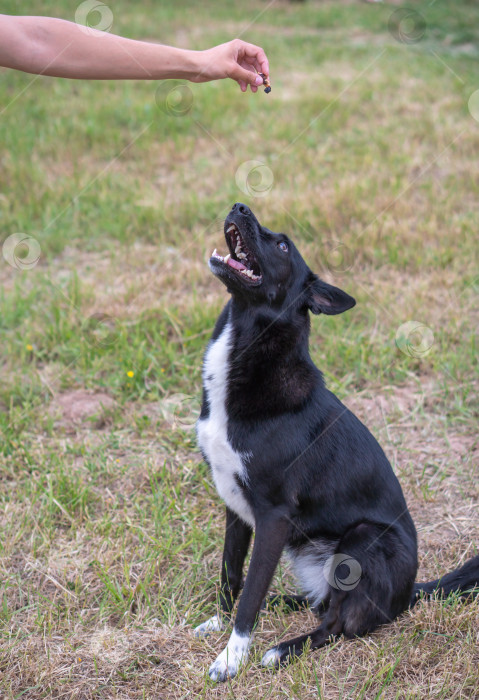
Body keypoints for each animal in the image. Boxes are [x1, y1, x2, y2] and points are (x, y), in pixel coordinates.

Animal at [193, 204, 478, 684]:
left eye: (282, 245)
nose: (239, 207)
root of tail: (410, 593)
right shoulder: (234, 504)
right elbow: (232, 574)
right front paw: (218, 622)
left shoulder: (273, 516)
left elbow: (249, 596)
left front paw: (232, 657)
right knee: (321, 602)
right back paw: (283, 605)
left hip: (363, 540)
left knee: (338, 624)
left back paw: (282, 650)